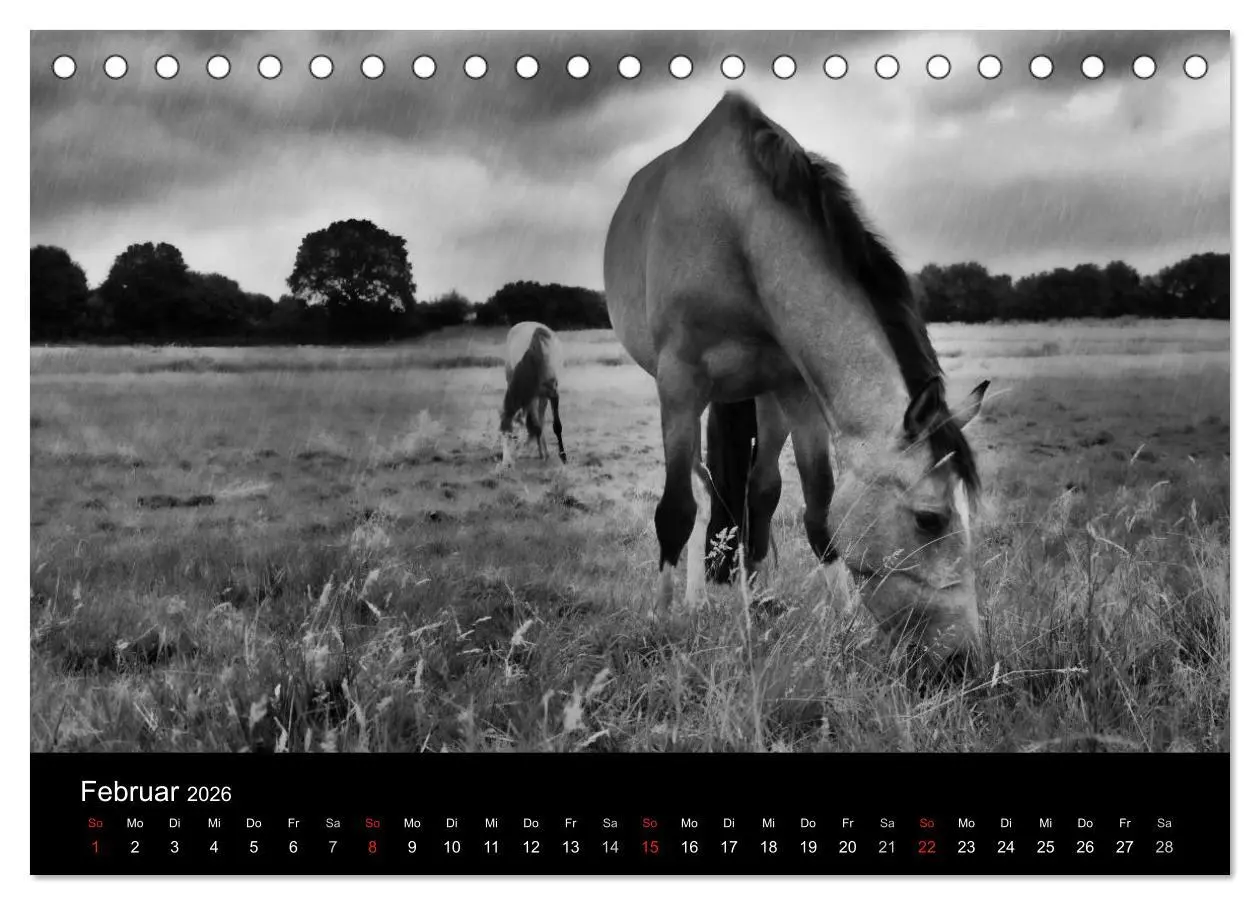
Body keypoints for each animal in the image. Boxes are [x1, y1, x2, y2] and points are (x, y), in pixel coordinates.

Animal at [499, 321, 566, 468]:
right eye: (502, 434)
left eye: (514, 437)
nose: (506, 464)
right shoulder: (530, 397)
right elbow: (537, 426)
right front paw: (542, 456)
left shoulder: (554, 394)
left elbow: (557, 426)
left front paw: (563, 456)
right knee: (538, 421)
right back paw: (543, 452)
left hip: (542, 397)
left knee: (540, 417)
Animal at [603, 92, 989, 664]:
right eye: (930, 518)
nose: (963, 659)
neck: (735, 229)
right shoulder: (678, 385)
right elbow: (675, 510)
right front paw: (660, 622)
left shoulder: (797, 391)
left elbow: (819, 514)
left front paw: (844, 625)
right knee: (702, 487)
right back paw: (697, 601)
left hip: (766, 397)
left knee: (759, 492)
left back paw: (759, 598)